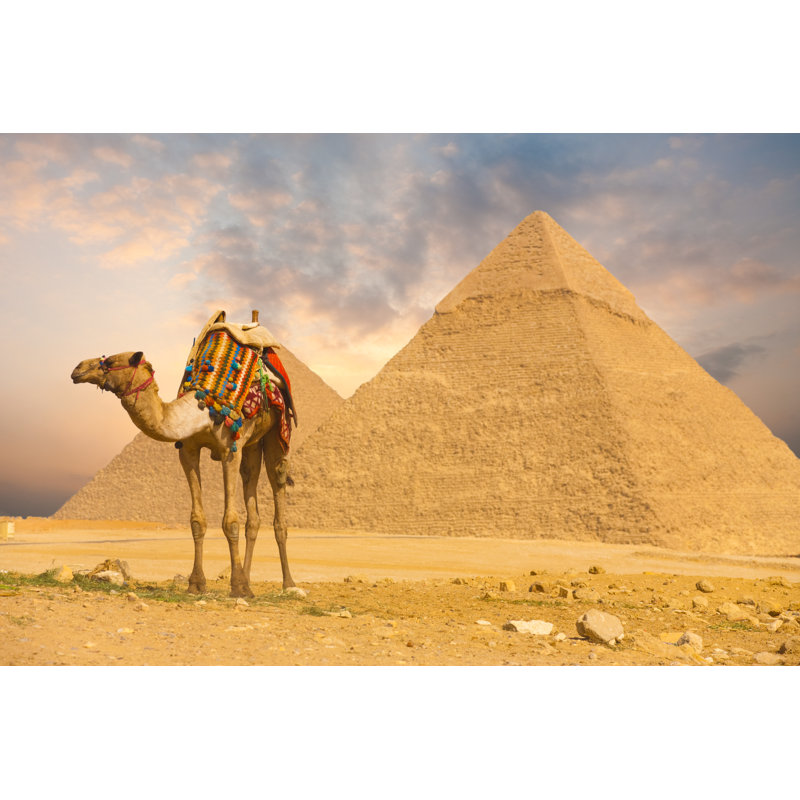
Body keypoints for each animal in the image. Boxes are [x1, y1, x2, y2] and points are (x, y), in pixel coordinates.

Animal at [70, 338, 299, 599]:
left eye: (109, 361)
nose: (77, 369)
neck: (203, 410)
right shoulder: (188, 451)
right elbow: (197, 520)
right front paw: (197, 584)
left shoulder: (230, 450)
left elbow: (230, 521)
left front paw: (238, 586)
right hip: (252, 445)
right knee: (252, 499)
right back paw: (250, 580)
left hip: (276, 433)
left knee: (277, 481)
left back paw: (288, 583)